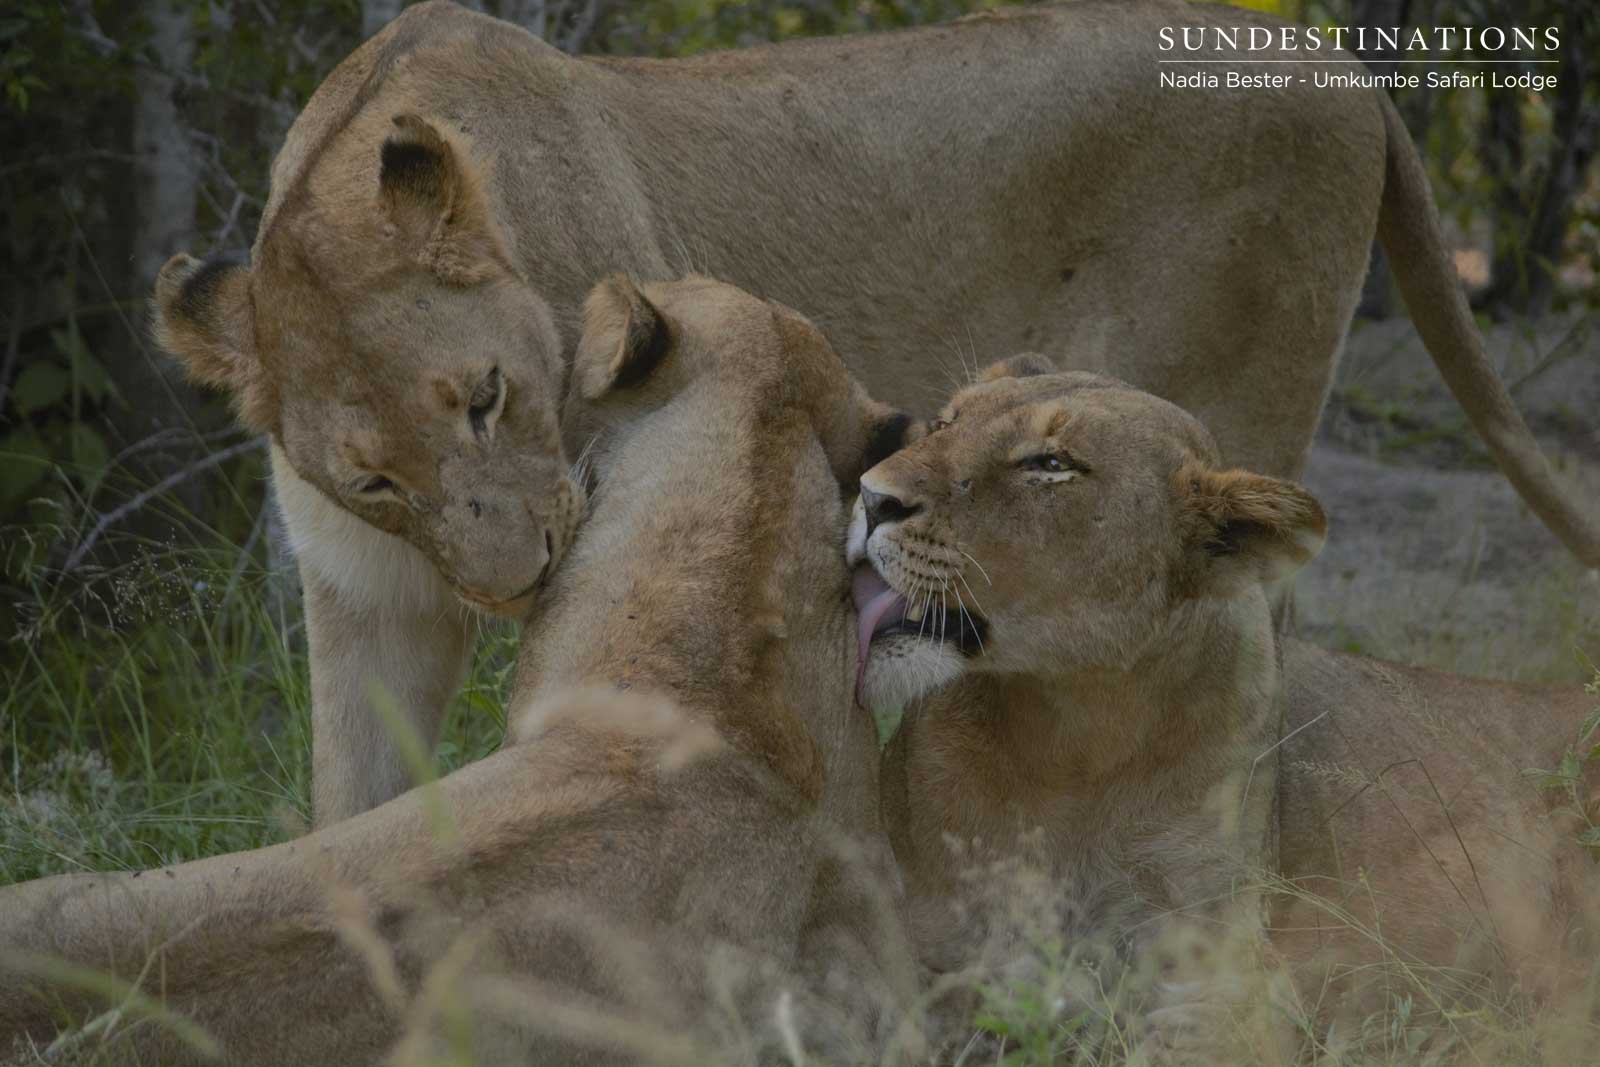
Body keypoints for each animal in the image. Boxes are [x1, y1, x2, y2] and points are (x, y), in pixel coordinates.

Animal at [150, 0, 1600, 825]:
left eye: (486, 396)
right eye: (373, 479)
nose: (520, 577)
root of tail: (1332, 62)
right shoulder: (367, 592)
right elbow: (350, 807)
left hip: (1229, 417)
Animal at [848, 358, 1595, 1054]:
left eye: (1051, 464)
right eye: (945, 423)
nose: (869, 496)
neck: (1076, 737)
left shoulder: (1230, 976)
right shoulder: (935, 952)